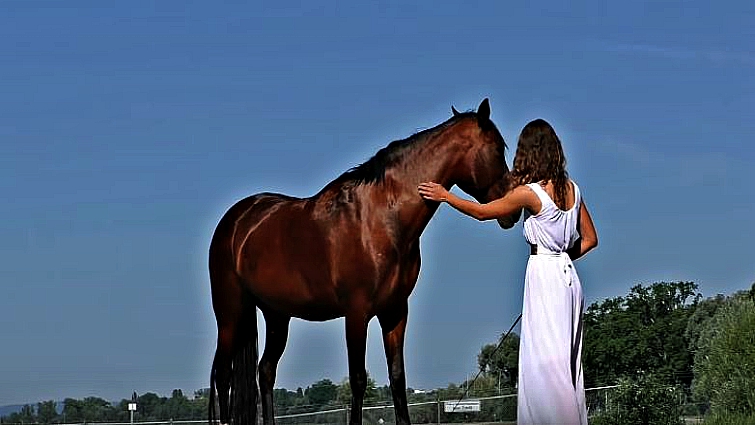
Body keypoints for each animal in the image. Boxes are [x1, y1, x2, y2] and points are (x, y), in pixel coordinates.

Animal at [207, 98, 521, 425]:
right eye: (497, 149)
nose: (511, 211)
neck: (383, 219)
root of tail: (237, 219)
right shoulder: (356, 313)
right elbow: (358, 380)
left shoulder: (395, 312)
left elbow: (397, 378)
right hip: (230, 313)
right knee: (224, 374)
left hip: (277, 315)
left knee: (266, 371)